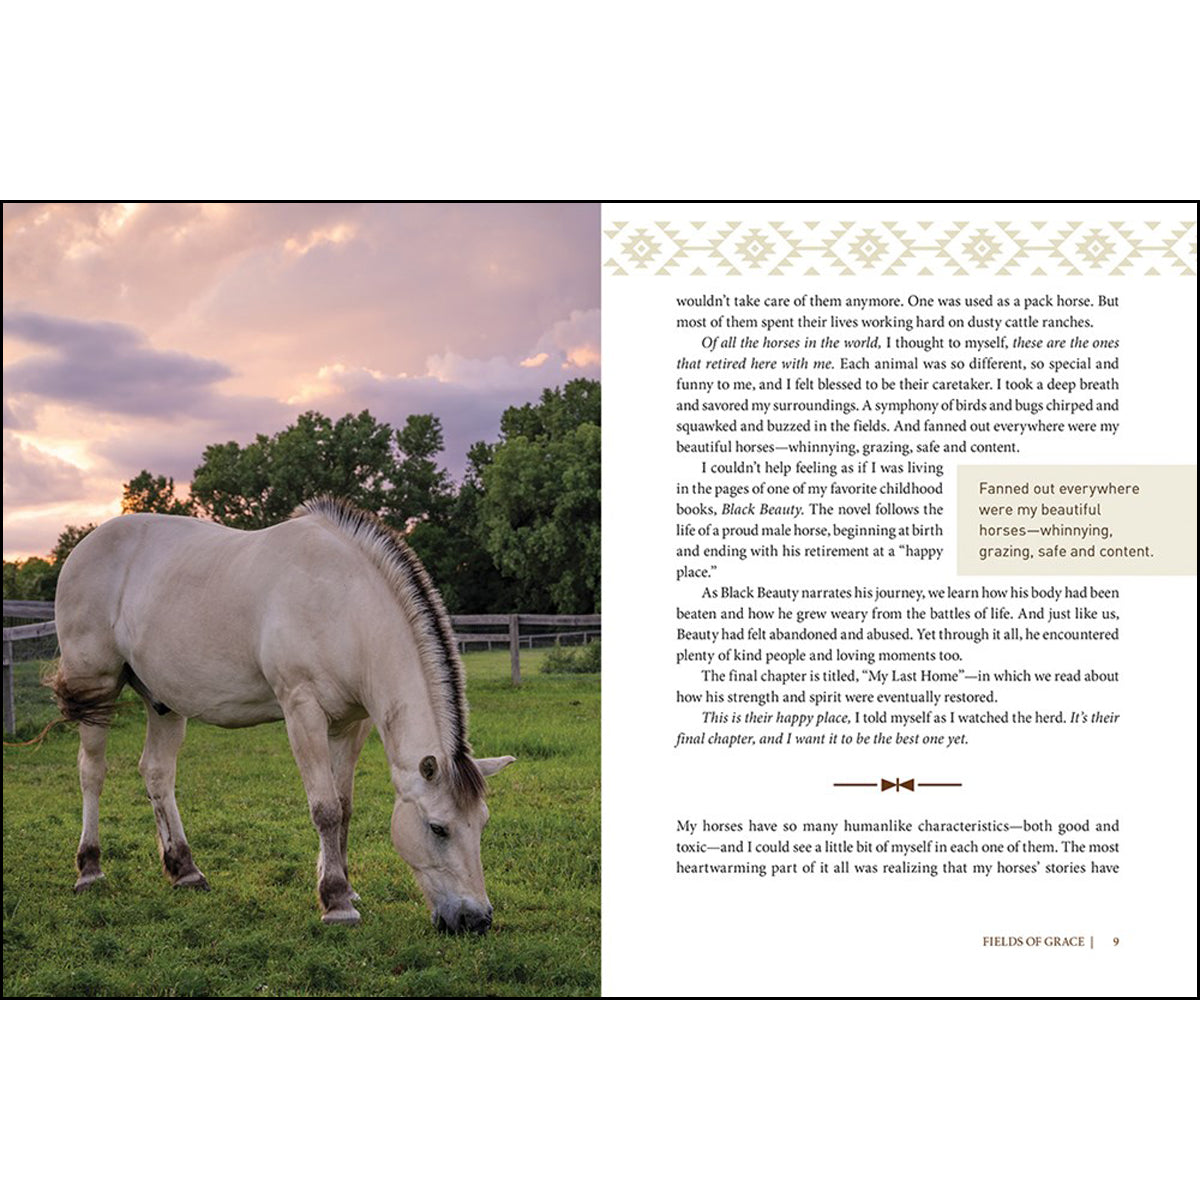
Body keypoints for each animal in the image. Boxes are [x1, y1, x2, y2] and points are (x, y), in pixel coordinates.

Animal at [50, 496, 514, 933]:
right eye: (438, 828)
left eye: (483, 824)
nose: (476, 920)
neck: (344, 603)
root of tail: (85, 546)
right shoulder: (302, 711)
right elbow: (324, 808)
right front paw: (336, 902)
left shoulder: (352, 724)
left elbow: (344, 807)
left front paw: (346, 886)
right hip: (95, 687)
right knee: (92, 771)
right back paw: (90, 869)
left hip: (164, 702)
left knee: (157, 773)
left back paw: (185, 870)